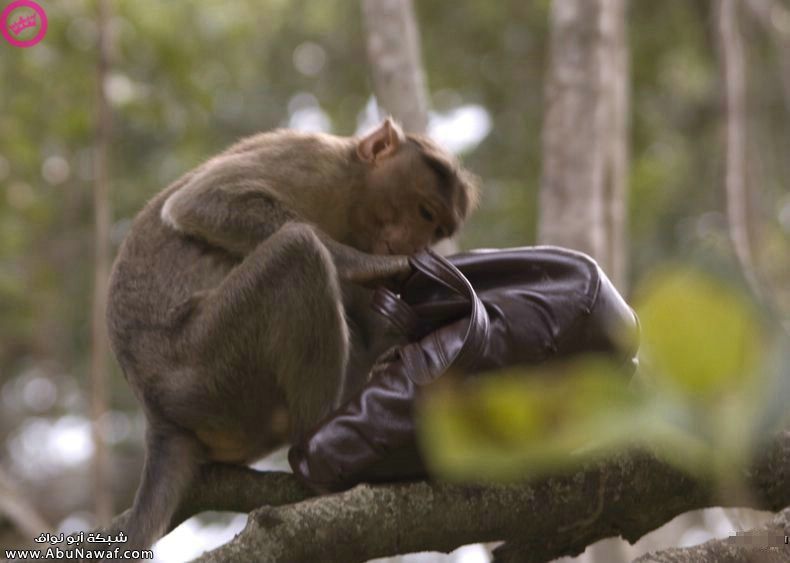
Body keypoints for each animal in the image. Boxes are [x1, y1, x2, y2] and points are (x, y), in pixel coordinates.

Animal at [103, 119, 476, 552]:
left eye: (438, 230)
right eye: (424, 211)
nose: (416, 244)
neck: (352, 197)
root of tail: (158, 414)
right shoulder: (312, 162)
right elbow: (202, 202)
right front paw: (368, 265)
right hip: (204, 368)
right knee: (298, 252)